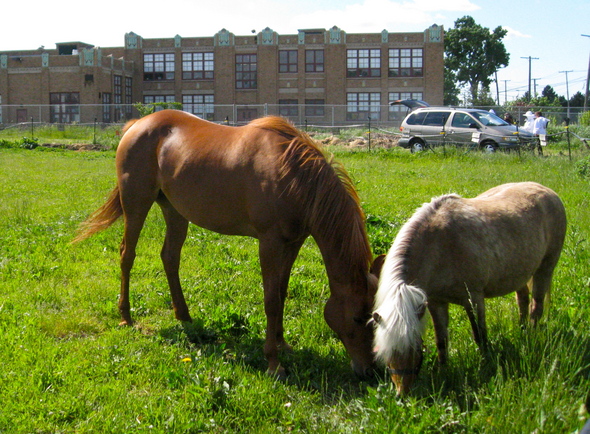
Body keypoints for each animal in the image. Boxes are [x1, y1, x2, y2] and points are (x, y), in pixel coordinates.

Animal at [75, 110, 380, 378]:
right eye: (357, 318)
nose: (368, 371)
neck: (295, 175)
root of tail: (137, 125)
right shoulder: (269, 243)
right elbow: (271, 300)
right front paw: (273, 363)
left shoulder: (293, 242)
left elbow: (282, 293)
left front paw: (282, 344)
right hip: (136, 204)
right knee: (127, 255)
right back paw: (126, 316)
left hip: (175, 211)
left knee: (170, 257)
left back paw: (184, 316)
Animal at [374, 181, 568, 396]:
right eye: (387, 353)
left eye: (414, 348)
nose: (402, 393)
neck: (441, 246)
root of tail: (547, 191)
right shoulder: (436, 302)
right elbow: (441, 340)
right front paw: (443, 371)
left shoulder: (474, 299)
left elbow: (480, 335)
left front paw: (486, 365)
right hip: (520, 274)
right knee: (523, 300)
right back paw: (522, 331)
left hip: (545, 268)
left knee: (537, 306)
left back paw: (530, 337)